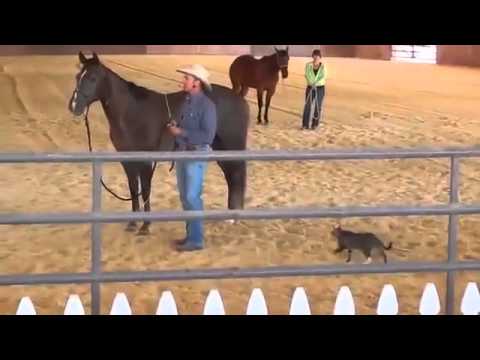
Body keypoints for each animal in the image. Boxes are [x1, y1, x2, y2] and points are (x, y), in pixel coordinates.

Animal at [69, 51, 249, 236]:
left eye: (92, 78)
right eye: (77, 76)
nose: (74, 106)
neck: (131, 113)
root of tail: (240, 100)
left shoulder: (146, 161)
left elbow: (145, 190)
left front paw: (145, 226)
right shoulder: (127, 160)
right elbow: (133, 189)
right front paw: (132, 223)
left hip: (231, 146)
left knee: (236, 176)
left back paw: (233, 217)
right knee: (231, 177)